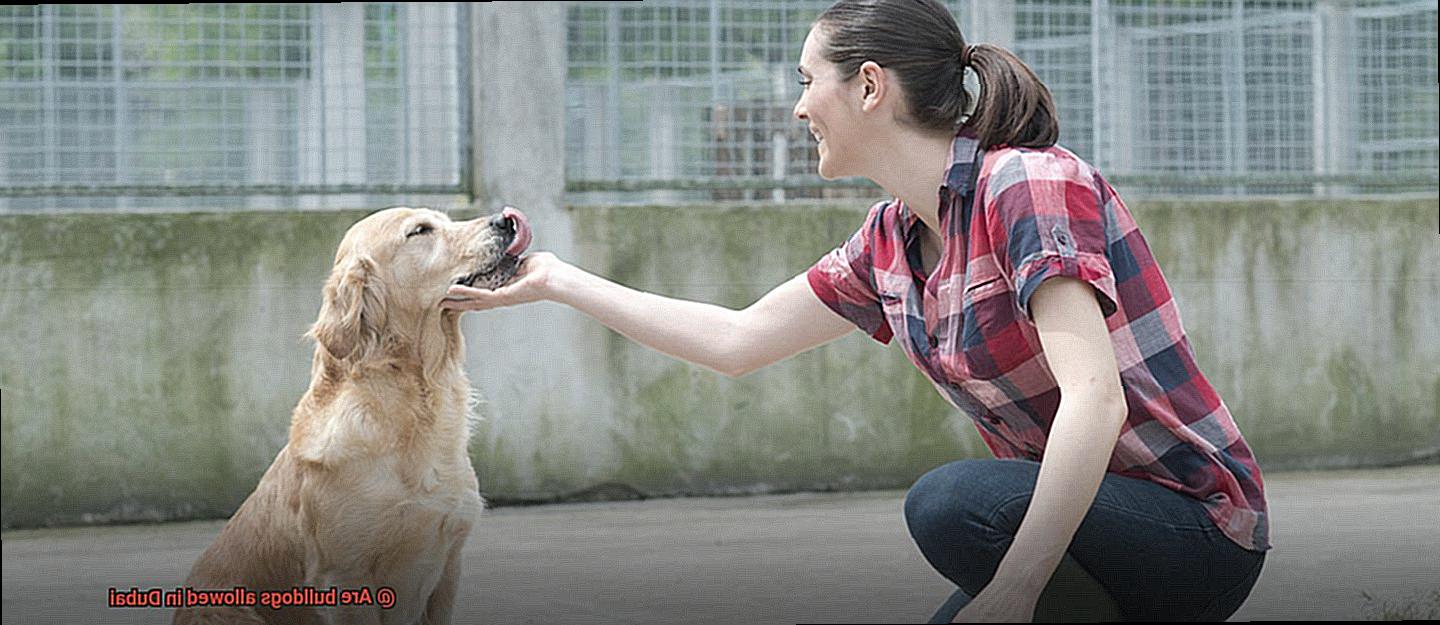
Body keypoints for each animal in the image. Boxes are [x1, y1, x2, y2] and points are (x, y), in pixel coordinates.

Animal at [174, 205, 535, 625]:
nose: (504, 220)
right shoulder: (345, 579)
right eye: (420, 231)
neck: (417, 399)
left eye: (444, 220)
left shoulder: (448, 566)